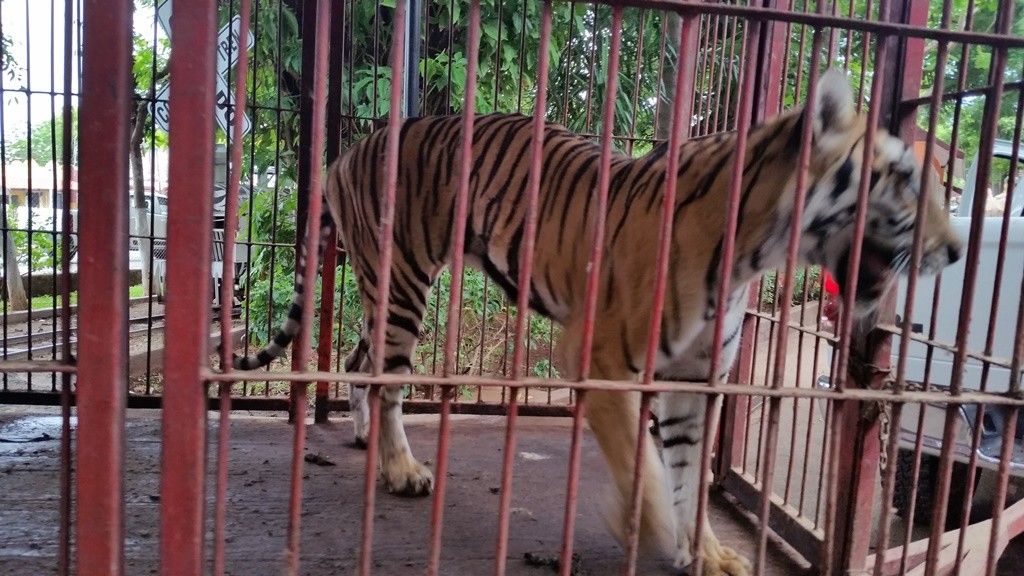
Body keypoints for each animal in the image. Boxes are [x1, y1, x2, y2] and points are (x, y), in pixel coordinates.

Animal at [232, 68, 962, 575]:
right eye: (904, 181)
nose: (957, 250)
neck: (755, 250)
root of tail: (351, 148)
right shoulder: (599, 358)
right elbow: (645, 470)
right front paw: (636, 524)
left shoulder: (694, 379)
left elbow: (690, 476)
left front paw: (707, 553)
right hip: (402, 279)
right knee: (386, 377)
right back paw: (403, 470)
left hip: (386, 292)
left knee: (363, 364)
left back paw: (370, 446)